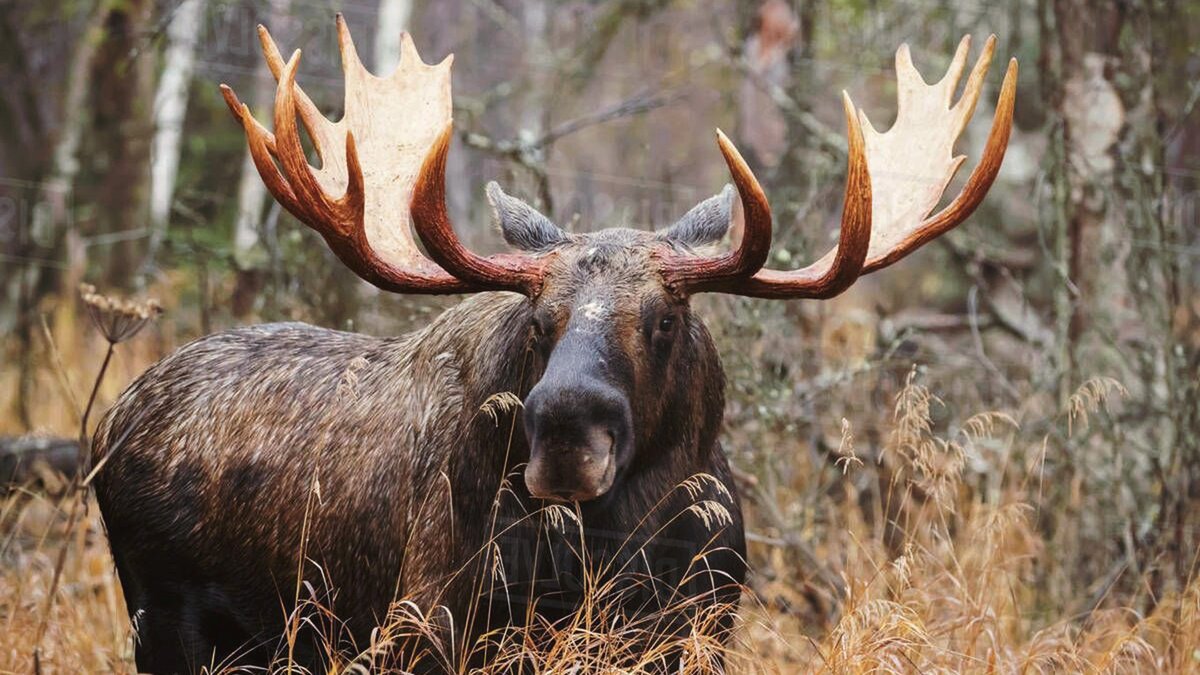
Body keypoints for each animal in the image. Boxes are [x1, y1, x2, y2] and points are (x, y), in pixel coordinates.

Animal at [91, 15, 1012, 672]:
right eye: (539, 320)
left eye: (665, 319)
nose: (568, 429)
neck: (622, 547)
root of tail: (110, 422)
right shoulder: (431, 625)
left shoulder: (701, 627)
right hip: (161, 618)